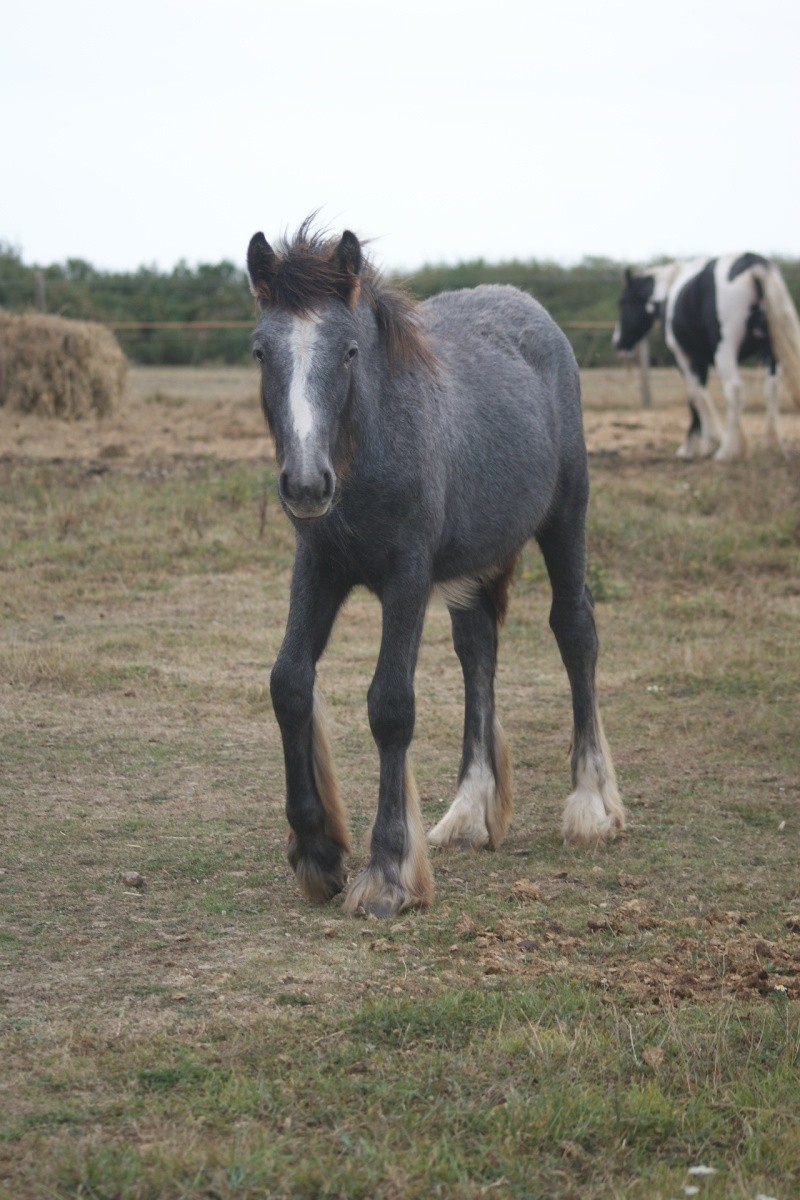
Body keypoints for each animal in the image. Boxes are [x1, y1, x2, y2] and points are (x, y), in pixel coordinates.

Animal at [245, 223, 623, 916]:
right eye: (261, 352)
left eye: (349, 351)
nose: (306, 484)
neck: (368, 450)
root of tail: (530, 308)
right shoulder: (318, 565)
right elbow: (288, 682)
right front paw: (317, 851)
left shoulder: (408, 576)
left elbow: (391, 704)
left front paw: (389, 873)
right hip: (475, 562)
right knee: (478, 649)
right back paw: (470, 814)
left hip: (566, 515)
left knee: (575, 630)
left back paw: (590, 806)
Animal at [614, 253, 800, 458]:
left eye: (622, 302)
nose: (617, 342)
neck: (669, 289)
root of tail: (751, 262)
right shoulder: (700, 360)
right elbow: (697, 394)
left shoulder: (684, 357)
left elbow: (696, 395)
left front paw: (700, 444)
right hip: (771, 351)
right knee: (772, 390)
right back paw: (772, 444)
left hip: (724, 350)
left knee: (734, 389)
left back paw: (729, 451)